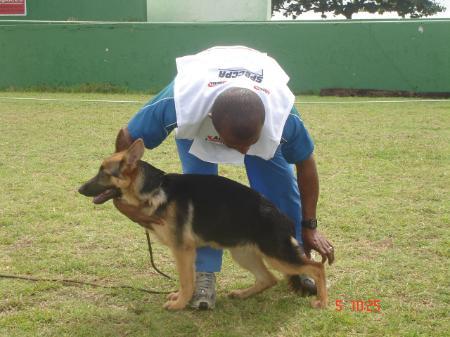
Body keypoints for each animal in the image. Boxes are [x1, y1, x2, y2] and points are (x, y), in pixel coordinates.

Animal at [79, 134, 328, 310]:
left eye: (104, 173)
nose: (79, 189)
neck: (155, 189)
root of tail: (281, 216)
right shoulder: (186, 252)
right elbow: (187, 280)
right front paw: (181, 299)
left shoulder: (182, 251)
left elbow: (186, 281)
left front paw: (179, 304)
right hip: (243, 254)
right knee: (269, 279)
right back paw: (242, 294)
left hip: (277, 256)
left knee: (316, 268)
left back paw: (322, 302)